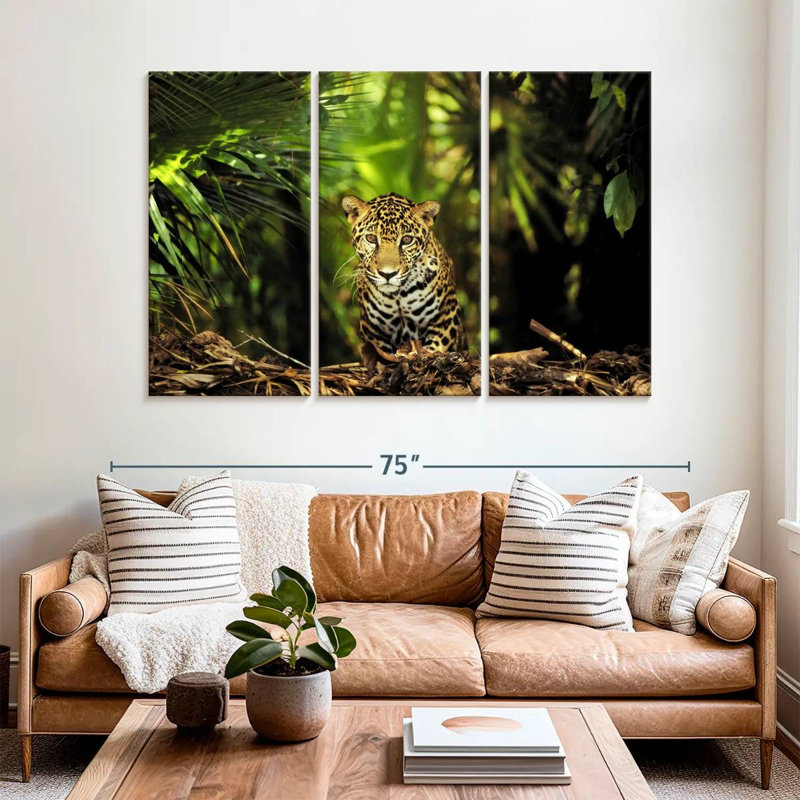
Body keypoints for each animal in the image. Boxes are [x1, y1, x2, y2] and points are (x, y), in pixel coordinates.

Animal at [341, 193, 466, 355]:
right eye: (371, 238)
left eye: (407, 240)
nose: (388, 274)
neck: (398, 296)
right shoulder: (372, 328)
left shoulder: (447, 314)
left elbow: (435, 347)